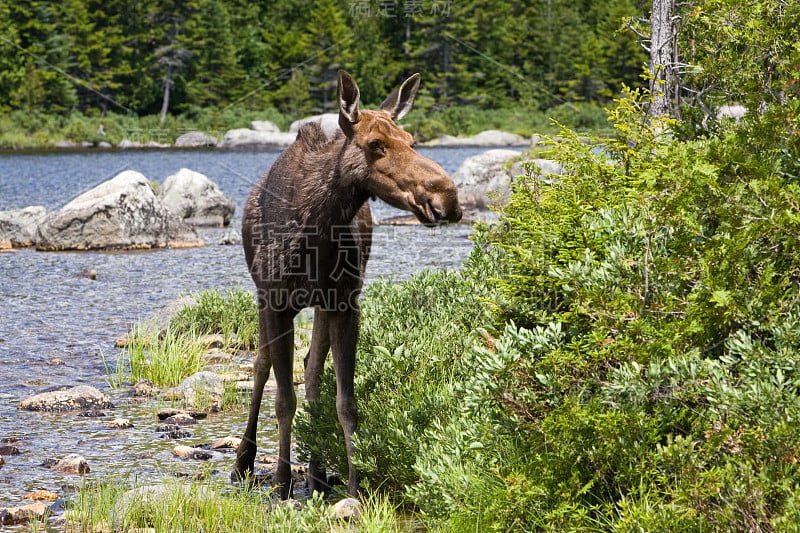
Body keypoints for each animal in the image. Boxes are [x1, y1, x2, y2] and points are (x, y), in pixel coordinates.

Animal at [234, 68, 460, 496]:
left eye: (411, 140)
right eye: (375, 144)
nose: (448, 196)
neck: (316, 230)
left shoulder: (345, 302)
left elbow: (345, 401)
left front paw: (355, 486)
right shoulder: (275, 303)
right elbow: (282, 398)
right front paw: (282, 483)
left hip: (323, 304)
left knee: (312, 371)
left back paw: (318, 473)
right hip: (261, 296)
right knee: (260, 366)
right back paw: (244, 459)